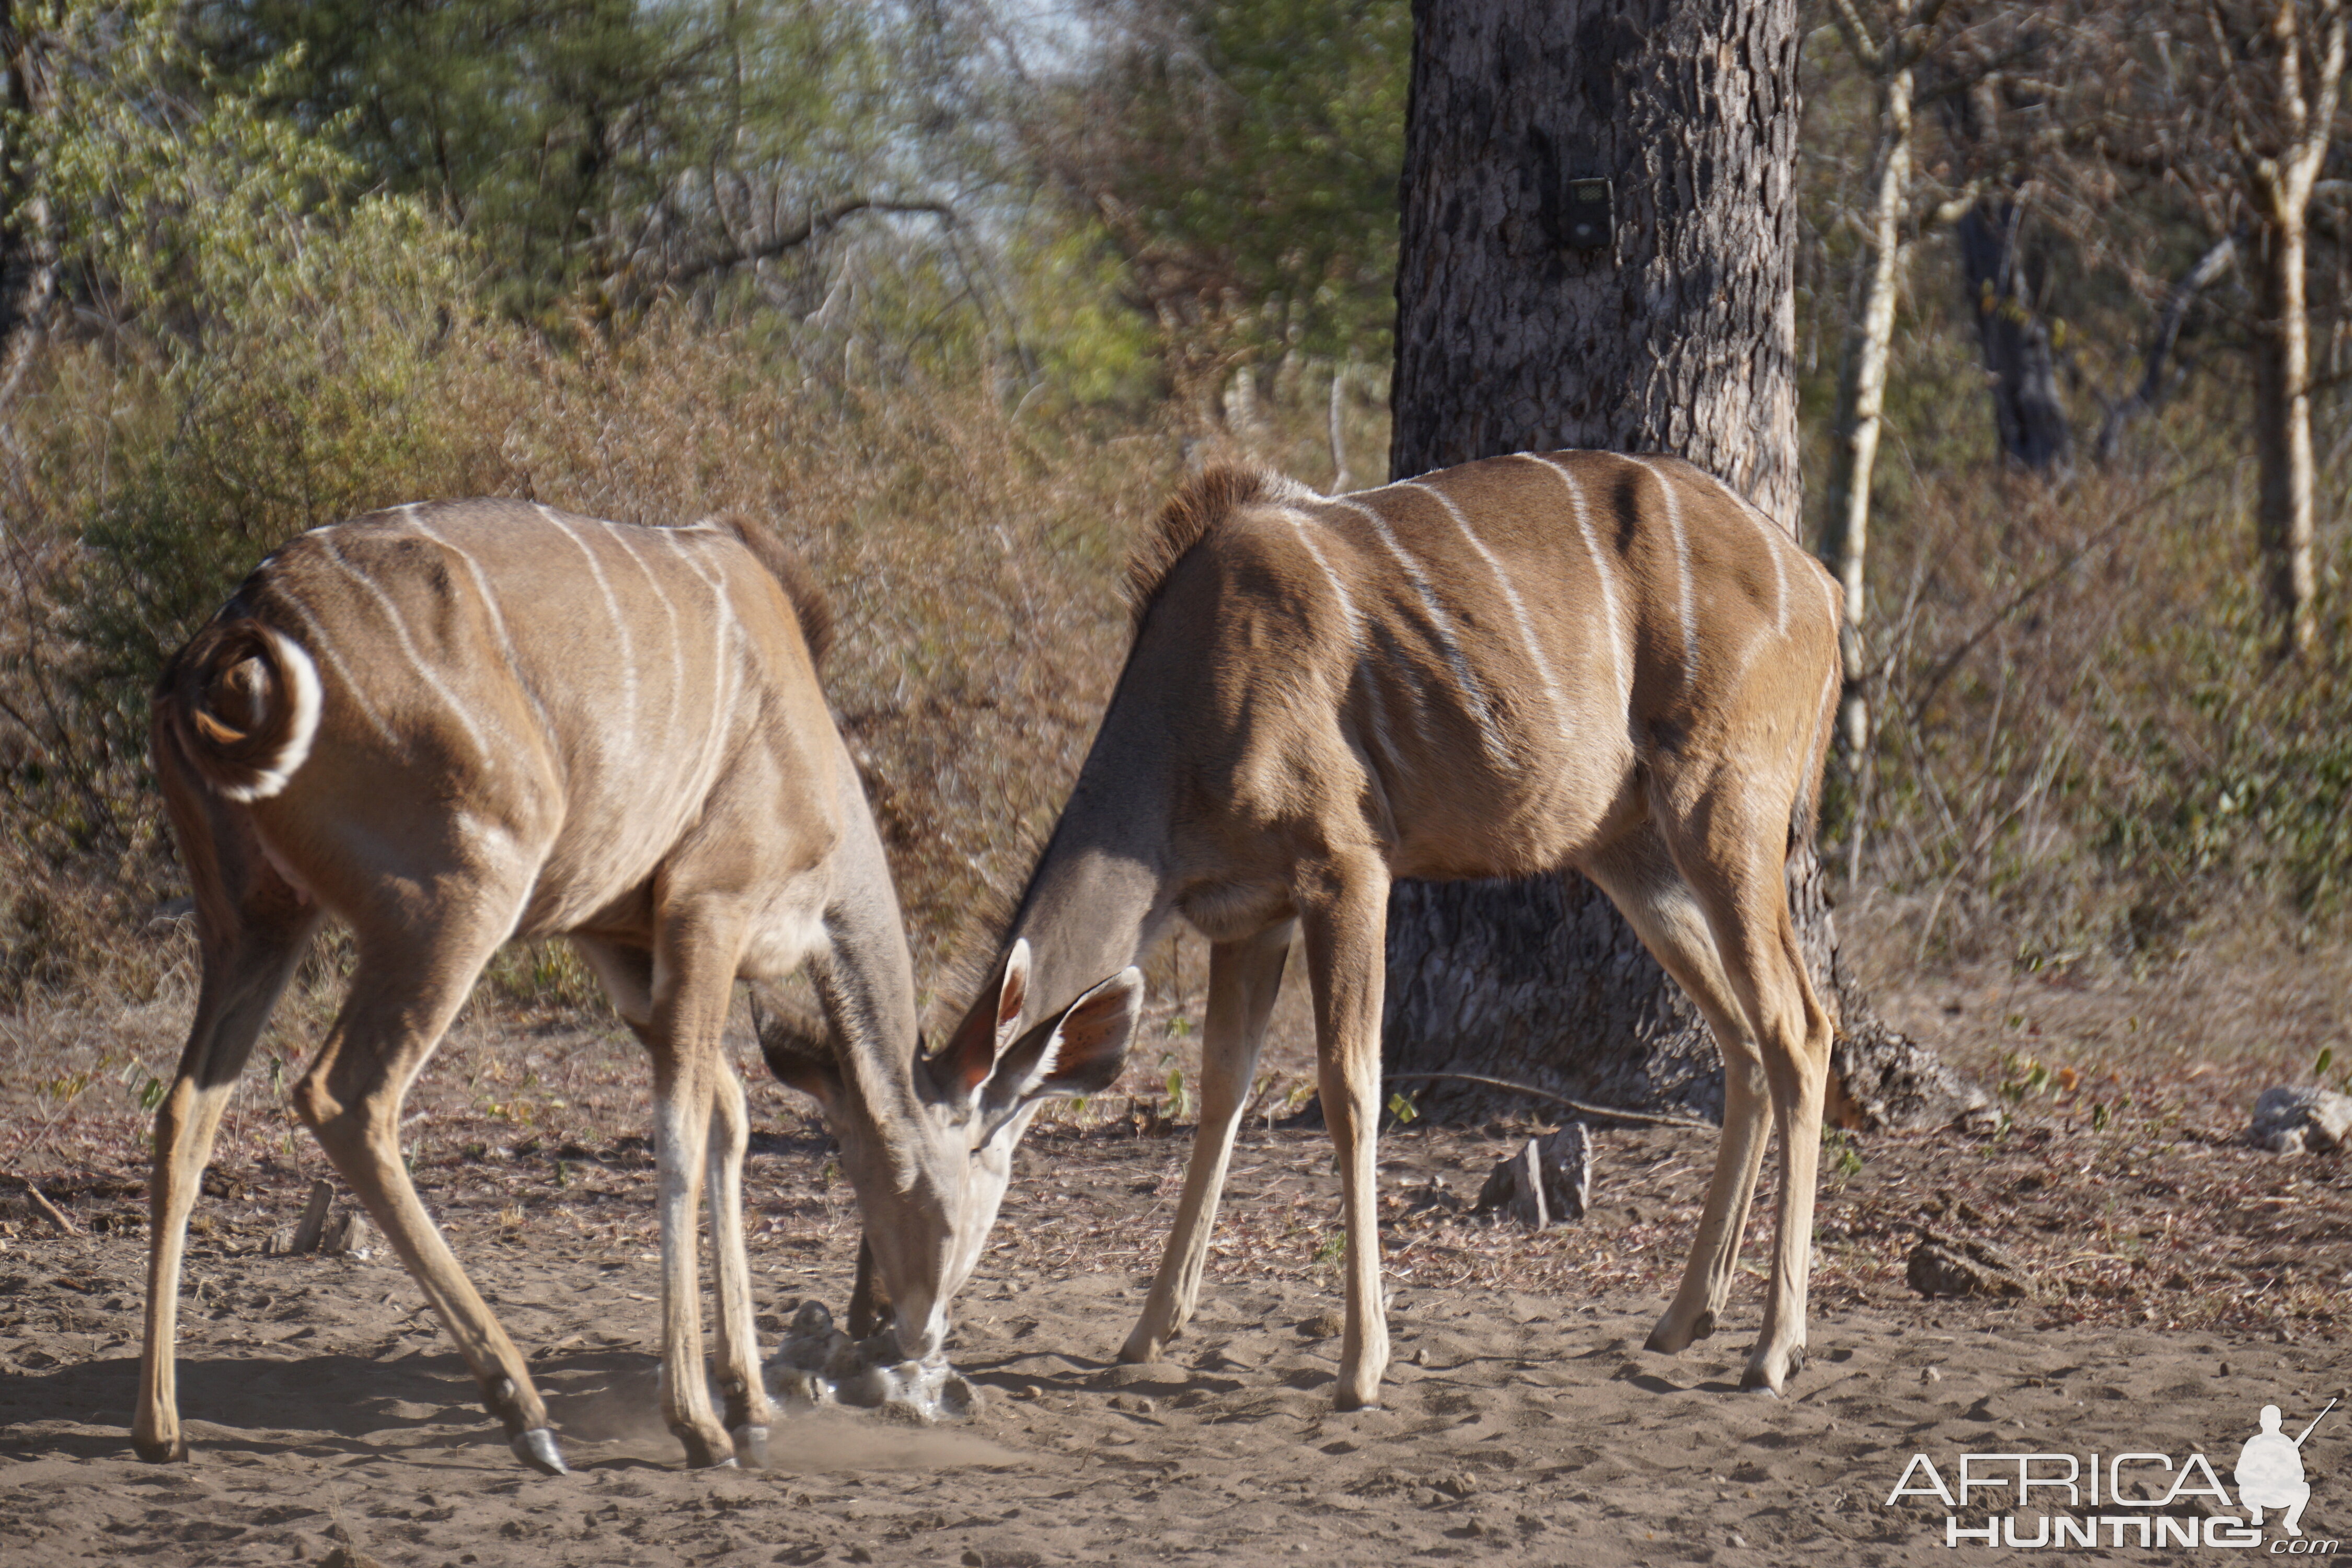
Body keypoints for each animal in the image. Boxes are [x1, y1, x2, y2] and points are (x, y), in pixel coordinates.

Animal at [140, 501, 1138, 1476]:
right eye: (975, 1168)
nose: (921, 1329)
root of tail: (235, 638)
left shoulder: (621, 947)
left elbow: (730, 1114)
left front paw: (752, 1403)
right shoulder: (707, 909)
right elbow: (683, 1131)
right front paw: (700, 1423)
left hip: (256, 922)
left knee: (187, 1108)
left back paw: (163, 1426)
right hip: (454, 902)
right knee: (345, 1096)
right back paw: (526, 1414)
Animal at [917, 454, 1853, 1410]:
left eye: (949, 1170)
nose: (899, 1318)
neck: (1188, 705)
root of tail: (1822, 586)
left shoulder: (1348, 870)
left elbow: (1351, 1089)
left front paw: (1361, 1366)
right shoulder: (1248, 917)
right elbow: (1223, 1087)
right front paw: (1147, 1334)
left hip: (1726, 807)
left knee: (1801, 1027)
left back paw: (1773, 1349)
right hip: (1631, 853)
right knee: (1742, 1039)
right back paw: (1684, 1318)